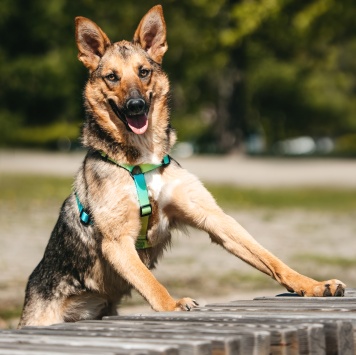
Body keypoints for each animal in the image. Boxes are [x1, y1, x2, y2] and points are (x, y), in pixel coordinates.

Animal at [18, 4, 344, 328]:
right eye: (112, 77)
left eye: (144, 72)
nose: (136, 106)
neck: (141, 162)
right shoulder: (117, 241)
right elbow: (150, 282)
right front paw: (172, 305)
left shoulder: (214, 217)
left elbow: (268, 258)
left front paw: (313, 285)